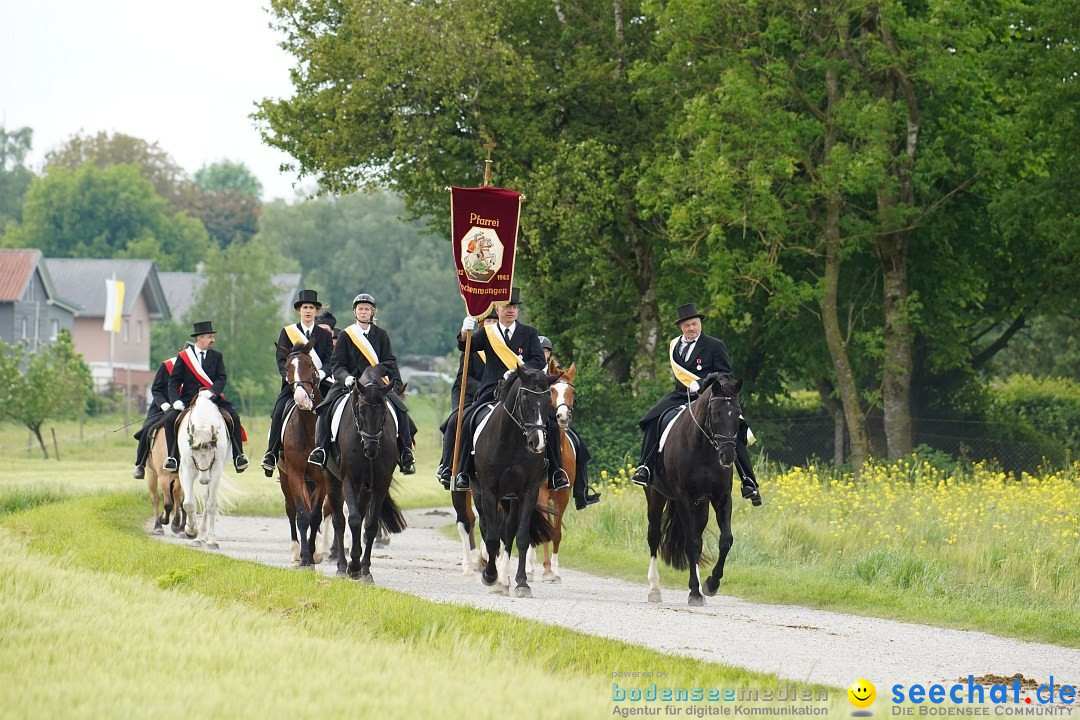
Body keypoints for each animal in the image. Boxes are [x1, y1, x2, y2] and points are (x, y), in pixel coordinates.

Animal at [179, 395, 230, 546]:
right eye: (193, 450)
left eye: (212, 450)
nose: (204, 479)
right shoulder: (188, 470)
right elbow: (188, 503)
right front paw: (190, 531)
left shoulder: (216, 471)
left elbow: (211, 504)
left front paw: (212, 540)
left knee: (207, 501)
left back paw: (202, 536)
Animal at [324, 362, 406, 582]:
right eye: (360, 410)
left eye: (384, 411)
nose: (371, 449)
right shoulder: (348, 480)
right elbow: (352, 520)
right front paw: (352, 566)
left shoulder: (380, 484)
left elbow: (369, 525)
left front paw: (365, 570)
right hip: (333, 481)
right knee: (339, 521)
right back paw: (342, 566)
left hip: (365, 488)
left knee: (360, 516)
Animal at [470, 367, 557, 595]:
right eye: (525, 398)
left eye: (548, 400)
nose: (537, 443)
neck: (512, 442)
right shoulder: (489, 491)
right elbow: (492, 537)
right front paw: (490, 577)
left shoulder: (528, 492)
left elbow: (522, 536)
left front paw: (522, 582)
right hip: (479, 494)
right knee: (486, 527)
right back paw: (494, 576)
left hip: (511, 499)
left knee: (508, 531)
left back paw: (504, 579)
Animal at [639, 375, 743, 604]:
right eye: (716, 413)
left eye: (738, 415)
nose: (728, 456)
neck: (703, 448)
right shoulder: (683, 497)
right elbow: (691, 543)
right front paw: (695, 591)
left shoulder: (722, 498)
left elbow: (725, 540)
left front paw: (711, 584)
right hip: (656, 496)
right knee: (654, 535)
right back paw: (654, 589)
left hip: (701, 505)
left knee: (698, 536)